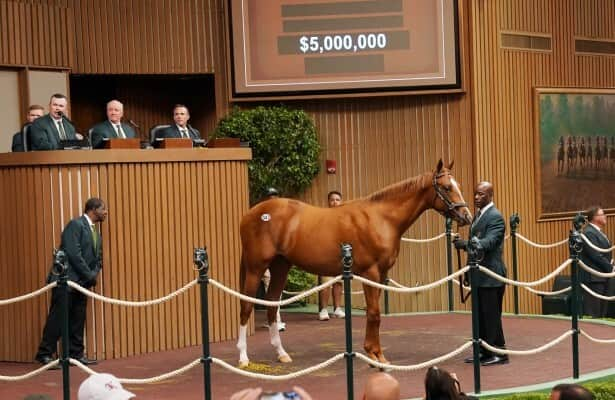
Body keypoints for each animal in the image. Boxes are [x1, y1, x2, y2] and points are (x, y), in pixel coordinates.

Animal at [236, 159, 472, 366]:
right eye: (447, 187)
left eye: (457, 185)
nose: (467, 216)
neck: (382, 218)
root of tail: (251, 213)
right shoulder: (371, 273)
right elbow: (375, 314)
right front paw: (376, 356)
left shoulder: (381, 275)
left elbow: (372, 313)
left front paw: (375, 353)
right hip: (256, 268)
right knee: (247, 306)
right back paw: (243, 358)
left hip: (280, 267)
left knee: (271, 305)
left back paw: (281, 353)